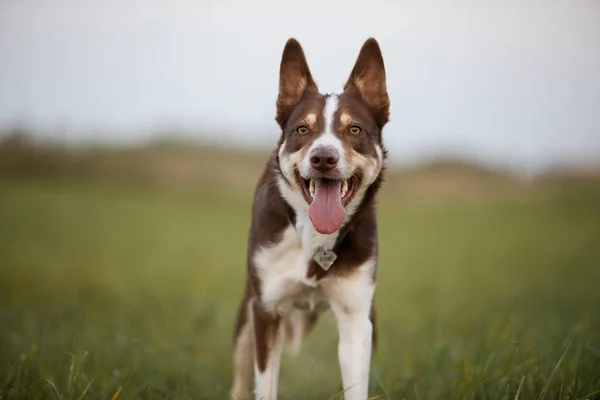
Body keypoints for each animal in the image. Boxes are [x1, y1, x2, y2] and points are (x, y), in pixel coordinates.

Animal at [230, 37, 390, 400]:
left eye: (354, 129)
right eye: (303, 129)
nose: (323, 158)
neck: (314, 237)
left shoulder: (357, 316)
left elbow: (356, 387)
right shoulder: (266, 310)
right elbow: (265, 387)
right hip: (246, 317)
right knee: (240, 381)